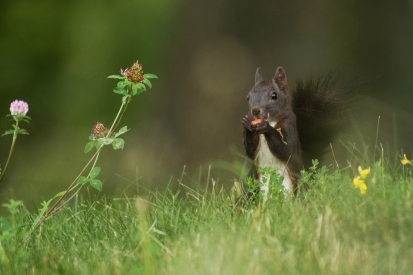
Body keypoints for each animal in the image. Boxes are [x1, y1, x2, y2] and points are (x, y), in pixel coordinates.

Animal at [243, 67, 356, 196]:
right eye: (248, 97)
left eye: (274, 95)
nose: (255, 111)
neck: (271, 120)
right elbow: (250, 151)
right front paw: (247, 125)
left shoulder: (290, 125)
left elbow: (286, 149)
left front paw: (266, 128)